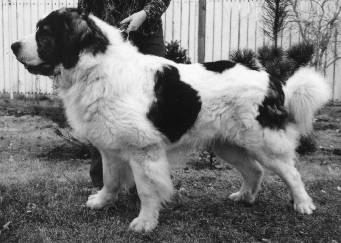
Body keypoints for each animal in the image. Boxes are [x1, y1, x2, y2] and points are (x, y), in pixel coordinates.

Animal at [11, 7, 328, 232]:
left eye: (44, 34)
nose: (13, 45)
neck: (95, 68)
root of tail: (273, 79)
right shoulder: (110, 147)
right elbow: (110, 179)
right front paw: (101, 201)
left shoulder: (143, 150)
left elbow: (147, 188)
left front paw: (145, 222)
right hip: (227, 144)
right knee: (254, 170)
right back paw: (245, 197)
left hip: (263, 142)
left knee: (291, 172)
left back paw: (303, 204)